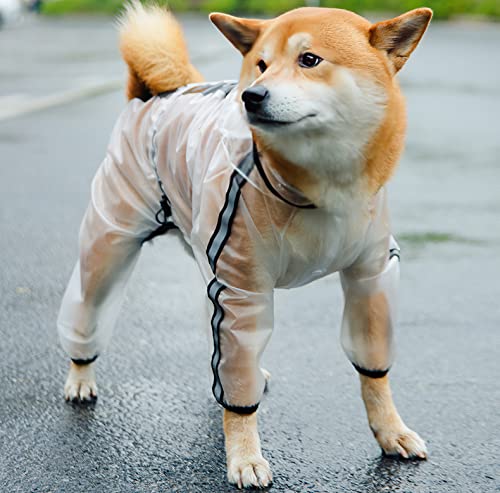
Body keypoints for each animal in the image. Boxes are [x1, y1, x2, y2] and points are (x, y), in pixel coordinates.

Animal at [58, 2, 432, 488]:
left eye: (309, 60)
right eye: (260, 64)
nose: (251, 96)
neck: (322, 187)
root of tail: (155, 95)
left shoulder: (370, 276)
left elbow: (374, 373)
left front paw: (391, 431)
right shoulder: (245, 290)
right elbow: (239, 402)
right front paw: (244, 456)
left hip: (207, 256)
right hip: (109, 246)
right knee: (89, 307)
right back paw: (80, 376)